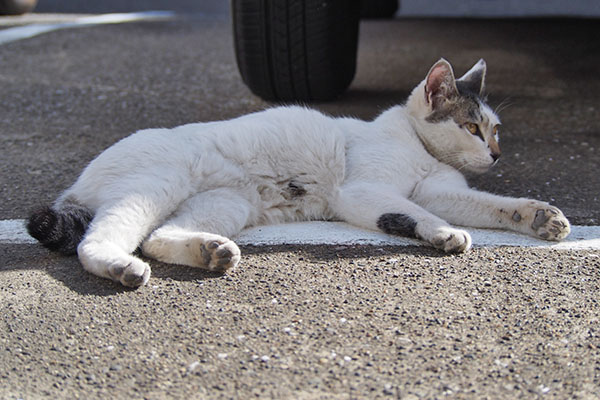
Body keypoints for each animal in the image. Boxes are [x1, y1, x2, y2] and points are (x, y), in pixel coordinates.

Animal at [28, 57, 572, 286]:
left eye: (497, 130)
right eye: (471, 128)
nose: (497, 155)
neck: (420, 150)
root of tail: (79, 180)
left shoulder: (439, 190)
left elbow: (490, 207)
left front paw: (538, 216)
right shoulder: (364, 190)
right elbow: (416, 213)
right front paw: (445, 234)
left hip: (225, 203)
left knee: (159, 237)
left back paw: (210, 252)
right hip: (155, 185)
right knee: (100, 239)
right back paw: (119, 267)